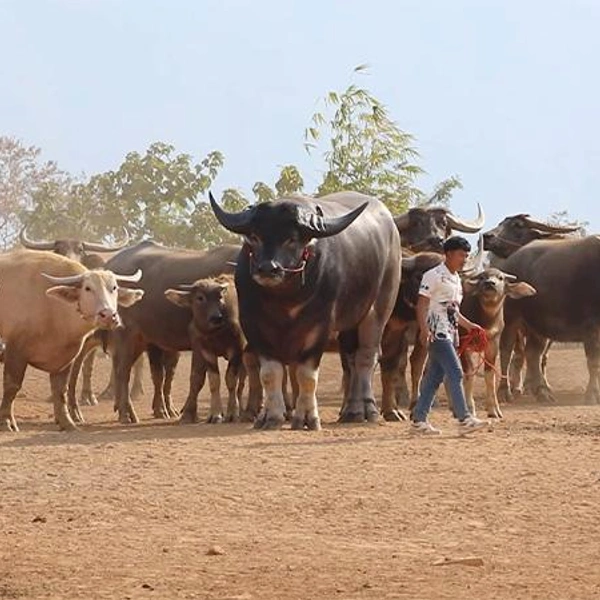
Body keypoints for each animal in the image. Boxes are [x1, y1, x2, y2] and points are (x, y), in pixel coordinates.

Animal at [0, 250, 144, 432]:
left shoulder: (66, 357)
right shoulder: (16, 351)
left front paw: (67, 422)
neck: (52, 307)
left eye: (114, 288)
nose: (109, 316)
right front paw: (6, 421)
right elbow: (12, 386)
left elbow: (60, 389)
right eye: (88, 288)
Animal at [165, 274, 247, 424]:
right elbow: (214, 381)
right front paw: (215, 414)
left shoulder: (237, 349)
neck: (215, 334)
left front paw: (232, 413)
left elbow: (231, 380)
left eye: (220, 297)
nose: (216, 317)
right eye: (200, 297)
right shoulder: (206, 352)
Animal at [209, 190, 400, 428]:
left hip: (379, 308)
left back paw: (367, 409)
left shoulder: (320, 328)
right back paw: (351, 411)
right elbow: (270, 374)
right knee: (351, 360)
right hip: (349, 323)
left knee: (366, 357)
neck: (284, 299)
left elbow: (306, 376)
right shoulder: (254, 327)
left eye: (292, 239)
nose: (267, 269)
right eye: (254, 237)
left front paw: (307, 418)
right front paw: (271, 416)